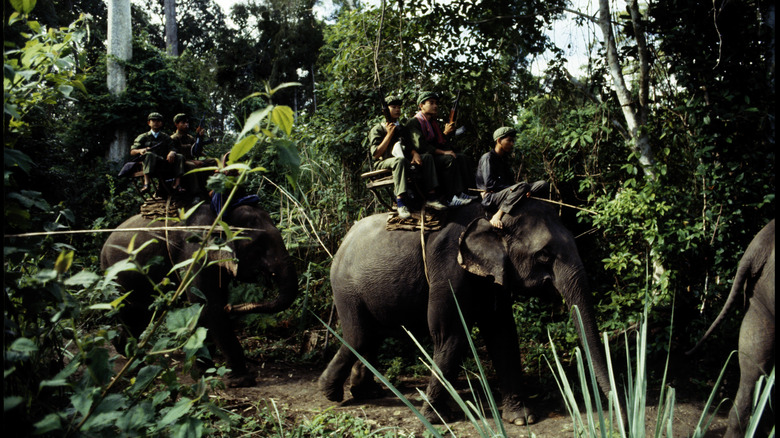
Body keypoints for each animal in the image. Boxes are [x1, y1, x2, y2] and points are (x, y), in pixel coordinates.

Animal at [102, 202, 298, 386]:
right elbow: (208, 307)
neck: (219, 213)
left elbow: (209, 306)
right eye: (257, 245)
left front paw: (207, 370)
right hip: (115, 276)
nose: (231, 307)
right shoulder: (194, 253)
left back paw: (125, 351)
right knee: (129, 313)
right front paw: (241, 381)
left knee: (139, 315)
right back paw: (135, 364)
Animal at [316, 198, 616, 424]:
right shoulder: (449, 266)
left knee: (372, 336)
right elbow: (450, 335)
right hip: (346, 288)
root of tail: (343, 241)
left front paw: (522, 419)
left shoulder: (492, 276)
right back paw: (331, 393)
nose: (616, 403)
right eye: (544, 255)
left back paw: (366, 392)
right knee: (359, 336)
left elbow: (502, 333)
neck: (488, 216)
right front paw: (437, 418)